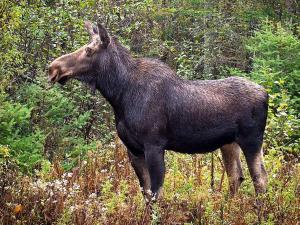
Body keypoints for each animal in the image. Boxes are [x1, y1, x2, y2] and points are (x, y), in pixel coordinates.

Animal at [48, 20, 268, 200]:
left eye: (88, 50)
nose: (53, 68)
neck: (119, 95)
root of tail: (266, 94)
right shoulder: (133, 149)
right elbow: (145, 194)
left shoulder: (154, 145)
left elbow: (155, 195)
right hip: (229, 143)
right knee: (236, 177)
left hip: (252, 140)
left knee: (260, 180)